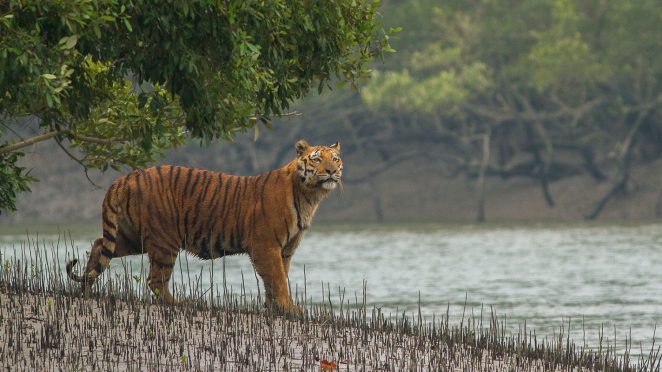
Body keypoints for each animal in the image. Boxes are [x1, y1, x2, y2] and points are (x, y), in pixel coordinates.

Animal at [67, 138, 344, 312]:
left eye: (335, 159)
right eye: (316, 160)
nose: (331, 171)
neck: (309, 195)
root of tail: (126, 177)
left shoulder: (285, 249)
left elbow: (276, 279)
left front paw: (274, 307)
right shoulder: (266, 246)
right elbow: (277, 279)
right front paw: (289, 308)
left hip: (132, 237)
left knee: (99, 244)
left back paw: (86, 288)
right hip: (164, 240)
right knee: (155, 280)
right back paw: (179, 304)